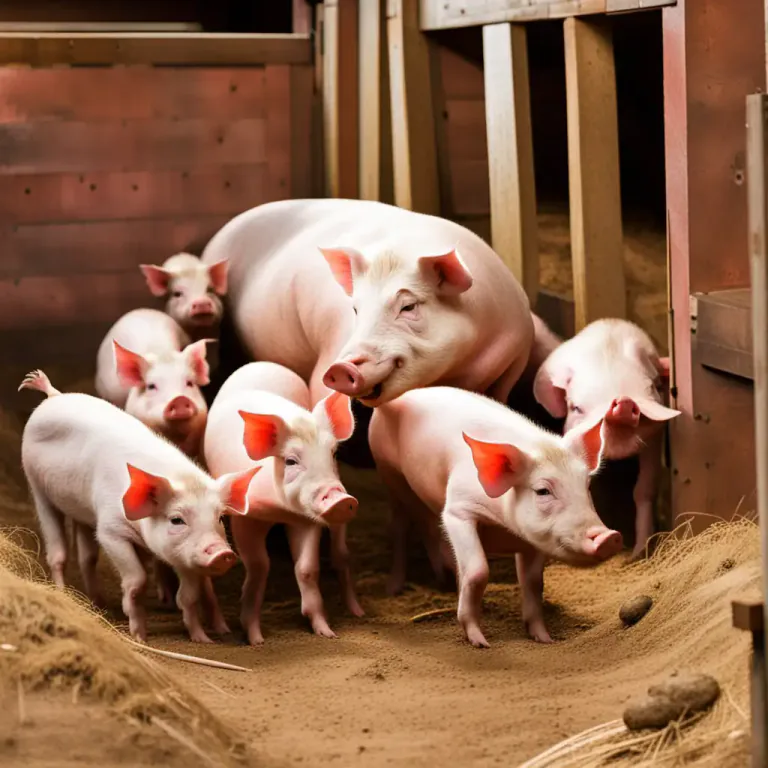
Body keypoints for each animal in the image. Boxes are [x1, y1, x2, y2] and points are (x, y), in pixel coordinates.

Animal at [18, 370, 258, 643]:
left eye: (219, 518)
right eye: (177, 520)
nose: (222, 552)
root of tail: (53, 395)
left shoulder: (180, 554)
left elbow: (188, 596)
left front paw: (203, 638)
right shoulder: (110, 530)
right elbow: (137, 580)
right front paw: (139, 637)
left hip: (80, 510)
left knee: (87, 557)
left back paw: (98, 605)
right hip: (36, 485)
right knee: (57, 553)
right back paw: (65, 596)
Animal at [200, 199, 534, 407]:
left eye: (408, 307)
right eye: (356, 309)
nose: (342, 367)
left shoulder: (517, 350)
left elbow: (502, 395)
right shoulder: (334, 337)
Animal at [203, 362, 361, 644]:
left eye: (333, 454)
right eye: (290, 461)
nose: (342, 499)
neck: (279, 511)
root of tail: (263, 364)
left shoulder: (306, 520)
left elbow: (307, 568)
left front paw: (326, 632)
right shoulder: (247, 518)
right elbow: (258, 567)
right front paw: (256, 640)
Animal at [368, 386, 622, 647]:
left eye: (587, 486)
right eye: (543, 491)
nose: (609, 537)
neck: (505, 528)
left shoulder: (534, 539)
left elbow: (533, 582)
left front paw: (545, 639)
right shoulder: (457, 509)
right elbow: (478, 570)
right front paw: (480, 642)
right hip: (388, 471)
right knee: (403, 526)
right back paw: (396, 588)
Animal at [532, 318, 680, 560]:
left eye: (653, 387)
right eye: (576, 407)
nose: (622, 403)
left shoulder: (653, 437)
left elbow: (644, 489)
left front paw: (637, 556)